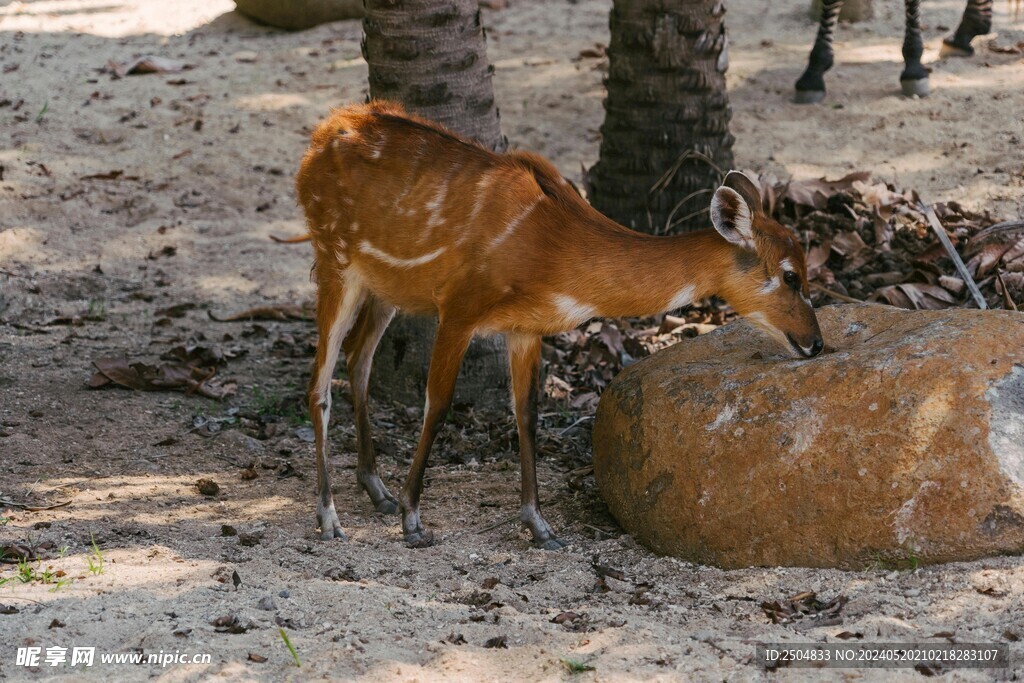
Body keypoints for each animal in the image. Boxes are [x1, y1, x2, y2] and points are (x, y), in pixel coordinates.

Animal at [296, 100, 824, 550]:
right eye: (791, 275)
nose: (816, 344)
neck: (555, 252)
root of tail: (318, 138)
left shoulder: (525, 328)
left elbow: (527, 412)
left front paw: (541, 527)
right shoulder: (460, 306)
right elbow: (438, 403)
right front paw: (413, 521)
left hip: (386, 286)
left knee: (357, 359)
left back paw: (376, 490)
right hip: (334, 257)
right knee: (318, 381)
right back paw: (330, 518)